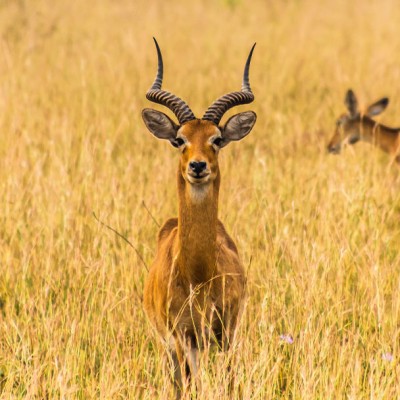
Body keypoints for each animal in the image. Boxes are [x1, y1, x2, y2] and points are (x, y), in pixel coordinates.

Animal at [142, 38, 258, 396]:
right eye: (179, 139)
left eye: (216, 139)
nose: (197, 165)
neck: (198, 275)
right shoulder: (182, 338)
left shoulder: (227, 333)